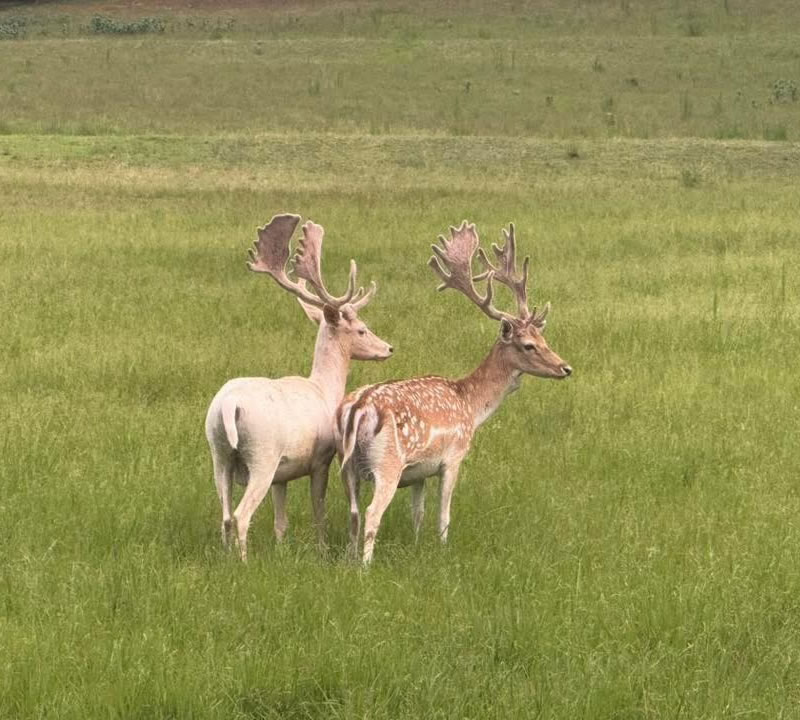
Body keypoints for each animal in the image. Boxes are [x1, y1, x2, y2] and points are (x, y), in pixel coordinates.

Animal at [205, 213, 393, 561]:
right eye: (362, 329)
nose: (388, 348)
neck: (324, 389)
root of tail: (228, 405)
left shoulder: (283, 472)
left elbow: (281, 520)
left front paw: (282, 550)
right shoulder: (321, 458)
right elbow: (319, 510)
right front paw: (322, 551)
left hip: (218, 452)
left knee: (223, 514)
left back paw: (225, 558)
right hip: (262, 454)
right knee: (240, 515)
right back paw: (243, 562)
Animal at [336, 220, 572, 565]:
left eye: (544, 339)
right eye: (528, 345)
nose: (565, 368)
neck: (470, 405)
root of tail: (359, 409)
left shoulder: (418, 472)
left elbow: (418, 512)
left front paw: (417, 544)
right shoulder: (453, 457)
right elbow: (443, 514)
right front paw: (443, 550)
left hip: (346, 464)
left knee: (352, 512)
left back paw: (350, 560)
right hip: (387, 463)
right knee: (370, 513)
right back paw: (365, 567)